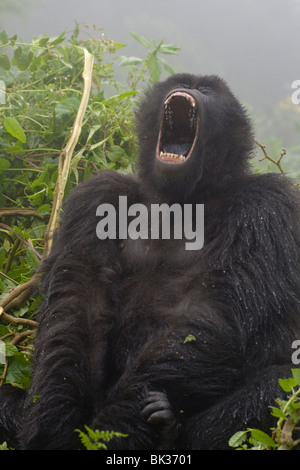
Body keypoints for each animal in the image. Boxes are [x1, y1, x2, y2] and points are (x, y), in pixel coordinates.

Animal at [0, 72, 300, 448]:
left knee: (281, 384)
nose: (188, 90)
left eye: (206, 90)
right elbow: (79, 306)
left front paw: (113, 431)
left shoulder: (266, 203)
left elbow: (213, 314)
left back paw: (170, 433)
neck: (182, 197)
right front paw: (55, 426)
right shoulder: (100, 193)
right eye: (180, 82)